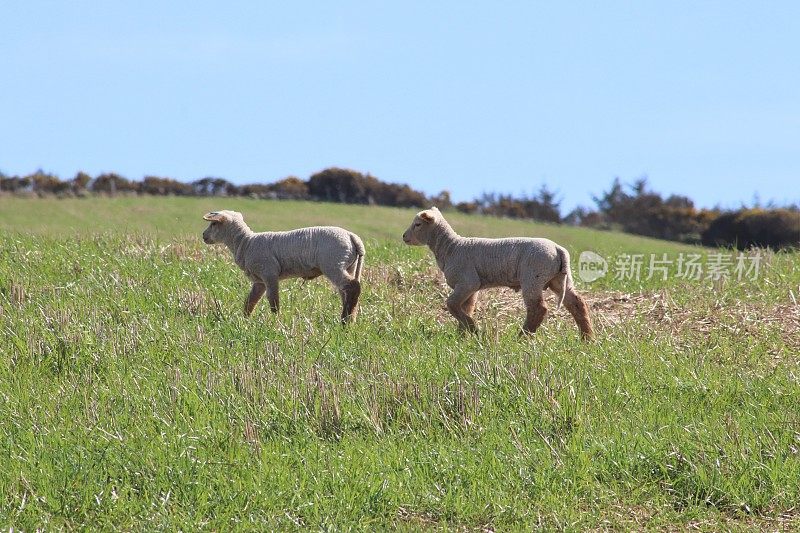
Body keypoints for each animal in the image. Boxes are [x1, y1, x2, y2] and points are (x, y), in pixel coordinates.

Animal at [202, 210, 364, 322]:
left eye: (214, 223)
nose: (203, 236)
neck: (245, 242)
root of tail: (352, 237)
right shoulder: (259, 281)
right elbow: (250, 301)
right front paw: (244, 321)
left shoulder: (269, 273)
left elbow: (273, 301)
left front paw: (276, 323)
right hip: (349, 266)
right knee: (347, 292)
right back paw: (350, 319)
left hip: (333, 263)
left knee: (353, 286)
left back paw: (345, 322)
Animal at [404, 207, 592, 336]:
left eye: (417, 224)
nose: (404, 237)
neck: (451, 247)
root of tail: (558, 249)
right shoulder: (471, 287)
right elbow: (466, 307)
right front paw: (463, 335)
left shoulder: (467, 282)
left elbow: (451, 304)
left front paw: (473, 329)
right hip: (560, 279)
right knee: (577, 303)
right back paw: (587, 338)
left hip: (533, 278)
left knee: (538, 309)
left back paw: (522, 337)